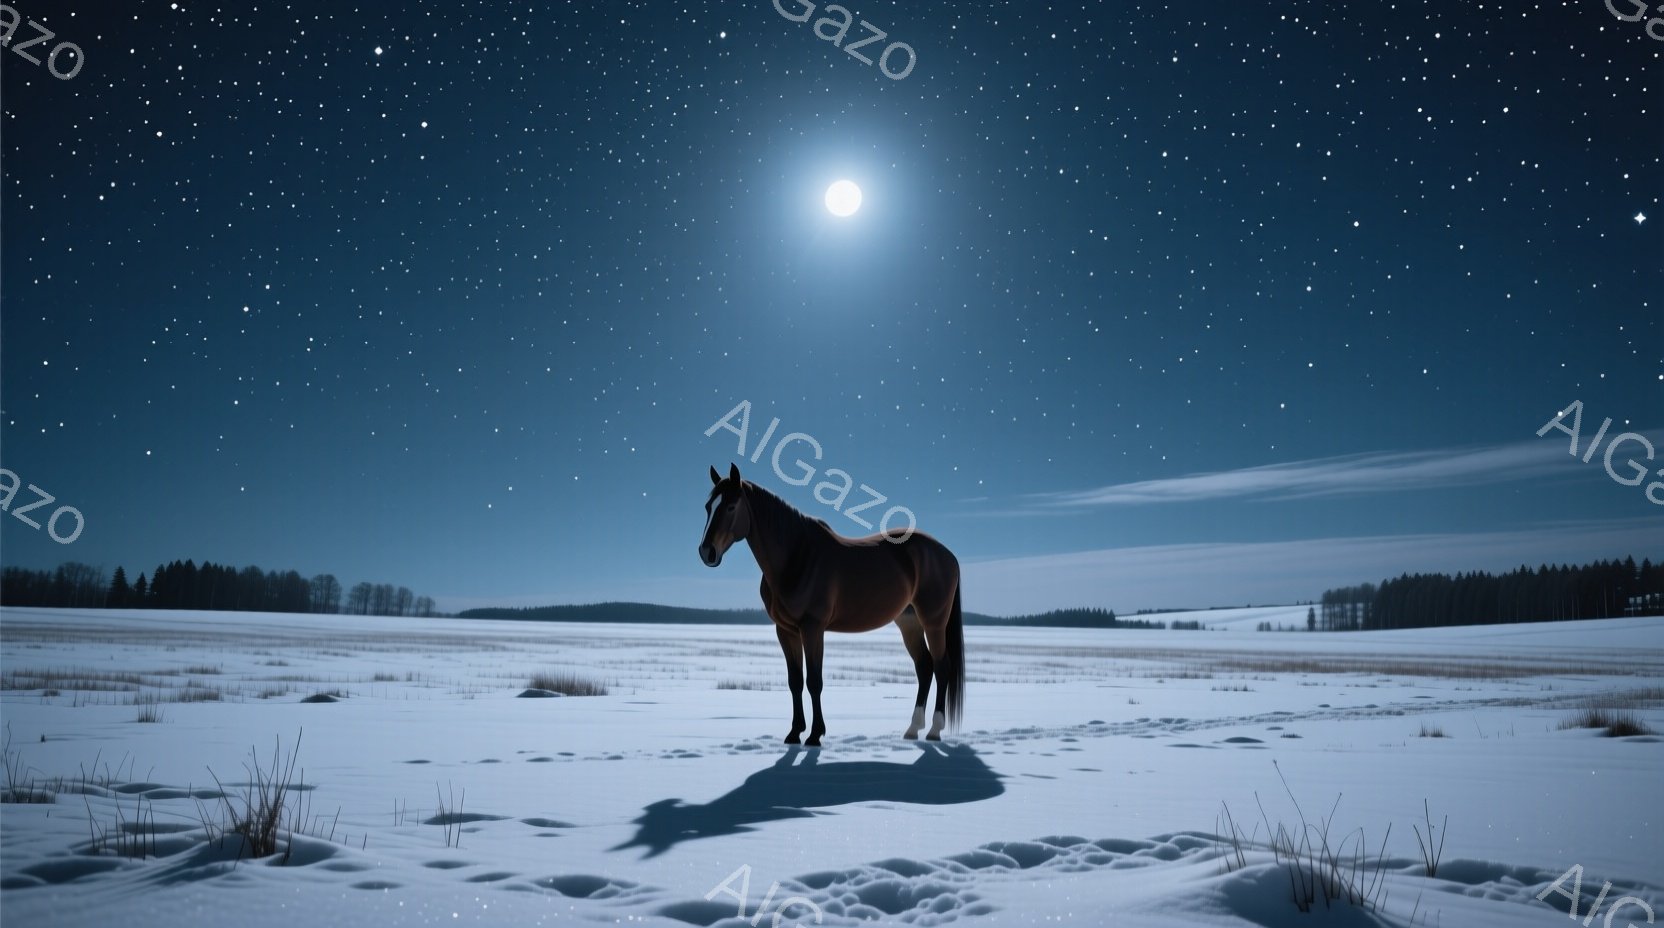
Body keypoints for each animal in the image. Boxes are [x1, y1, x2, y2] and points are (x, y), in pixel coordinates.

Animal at [698, 463, 964, 746]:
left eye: (731, 506)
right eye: (708, 506)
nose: (707, 552)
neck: (797, 557)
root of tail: (946, 555)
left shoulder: (812, 628)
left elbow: (814, 681)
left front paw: (815, 735)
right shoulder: (786, 630)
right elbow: (795, 681)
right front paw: (794, 732)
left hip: (933, 622)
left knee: (942, 667)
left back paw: (934, 731)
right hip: (909, 622)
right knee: (924, 667)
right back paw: (913, 729)